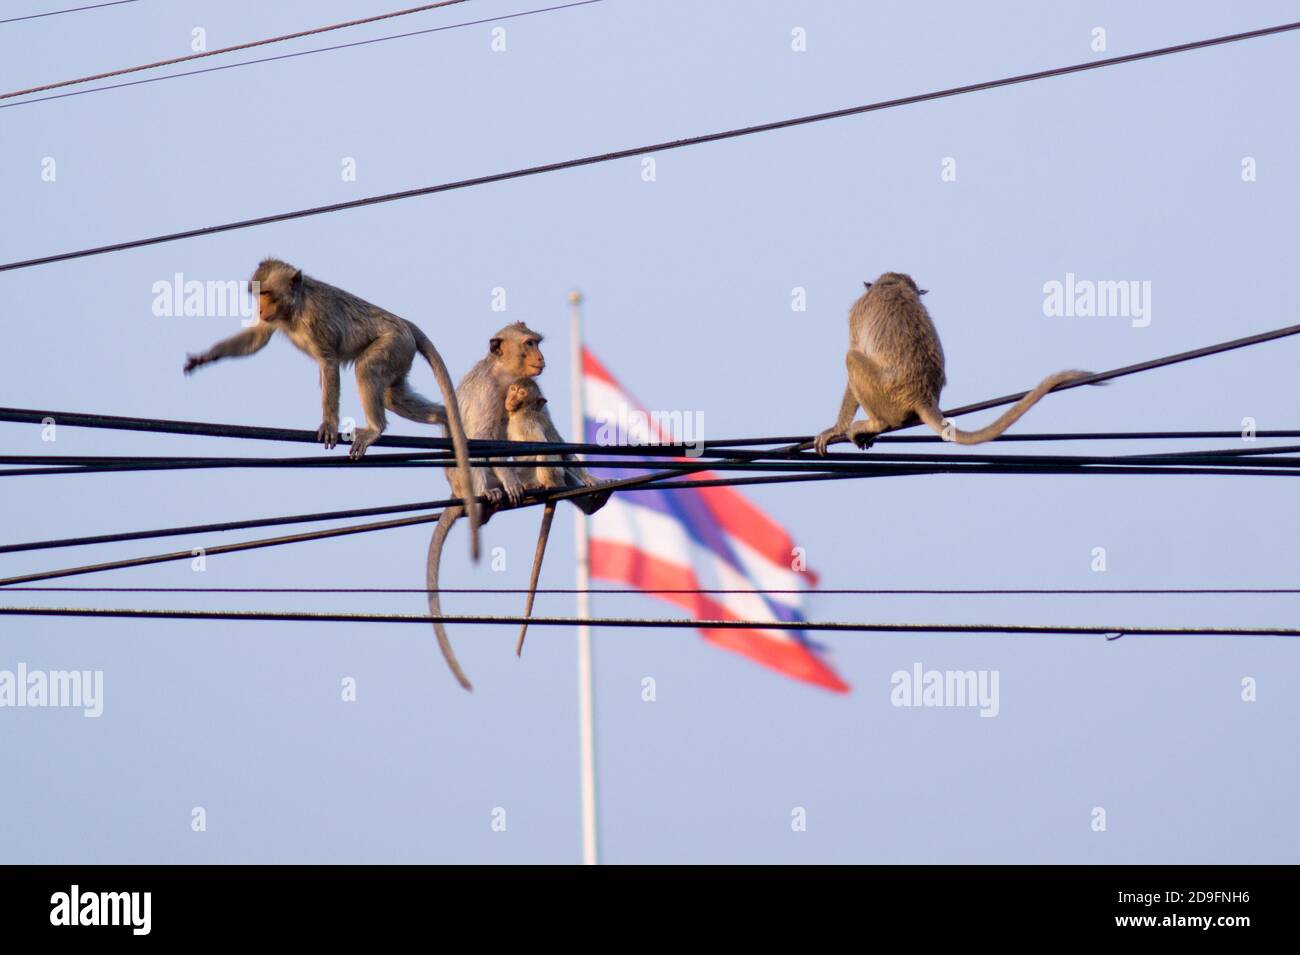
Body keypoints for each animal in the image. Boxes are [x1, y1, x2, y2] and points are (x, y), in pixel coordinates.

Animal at [183, 259, 483, 561]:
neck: (294, 308)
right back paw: (443, 418)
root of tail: (402, 321)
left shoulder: (315, 318)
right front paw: (205, 357)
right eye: (258, 294)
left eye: (266, 293)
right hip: (401, 355)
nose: (259, 308)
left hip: (393, 344)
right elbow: (257, 337)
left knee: (367, 369)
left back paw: (376, 429)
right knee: (393, 397)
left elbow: (328, 362)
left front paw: (329, 424)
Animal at [426, 324, 608, 691]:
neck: (504, 373)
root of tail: (455, 491)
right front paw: (510, 484)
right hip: (472, 481)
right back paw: (499, 491)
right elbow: (483, 438)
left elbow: (554, 439)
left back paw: (589, 497)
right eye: (528, 344)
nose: (540, 356)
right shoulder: (490, 391)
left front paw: (586, 475)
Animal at [811, 274, 1097, 457]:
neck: (891, 285)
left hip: (885, 395)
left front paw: (835, 429)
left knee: (851, 357)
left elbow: (855, 348)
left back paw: (876, 424)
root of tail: (923, 396)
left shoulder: (856, 312)